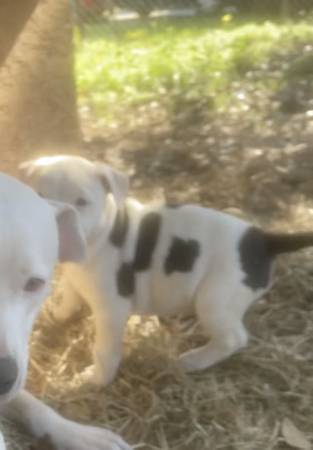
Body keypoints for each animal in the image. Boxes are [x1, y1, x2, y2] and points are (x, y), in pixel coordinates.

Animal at [19, 156, 313, 384]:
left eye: (82, 202)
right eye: (38, 196)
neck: (100, 237)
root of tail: (263, 239)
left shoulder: (111, 310)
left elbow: (105, 349)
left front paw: (96, 379)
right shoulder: (76, 278)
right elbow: (69, 296)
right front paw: (56, 316)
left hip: (216, 299)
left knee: (234, 338)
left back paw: (194, 360)